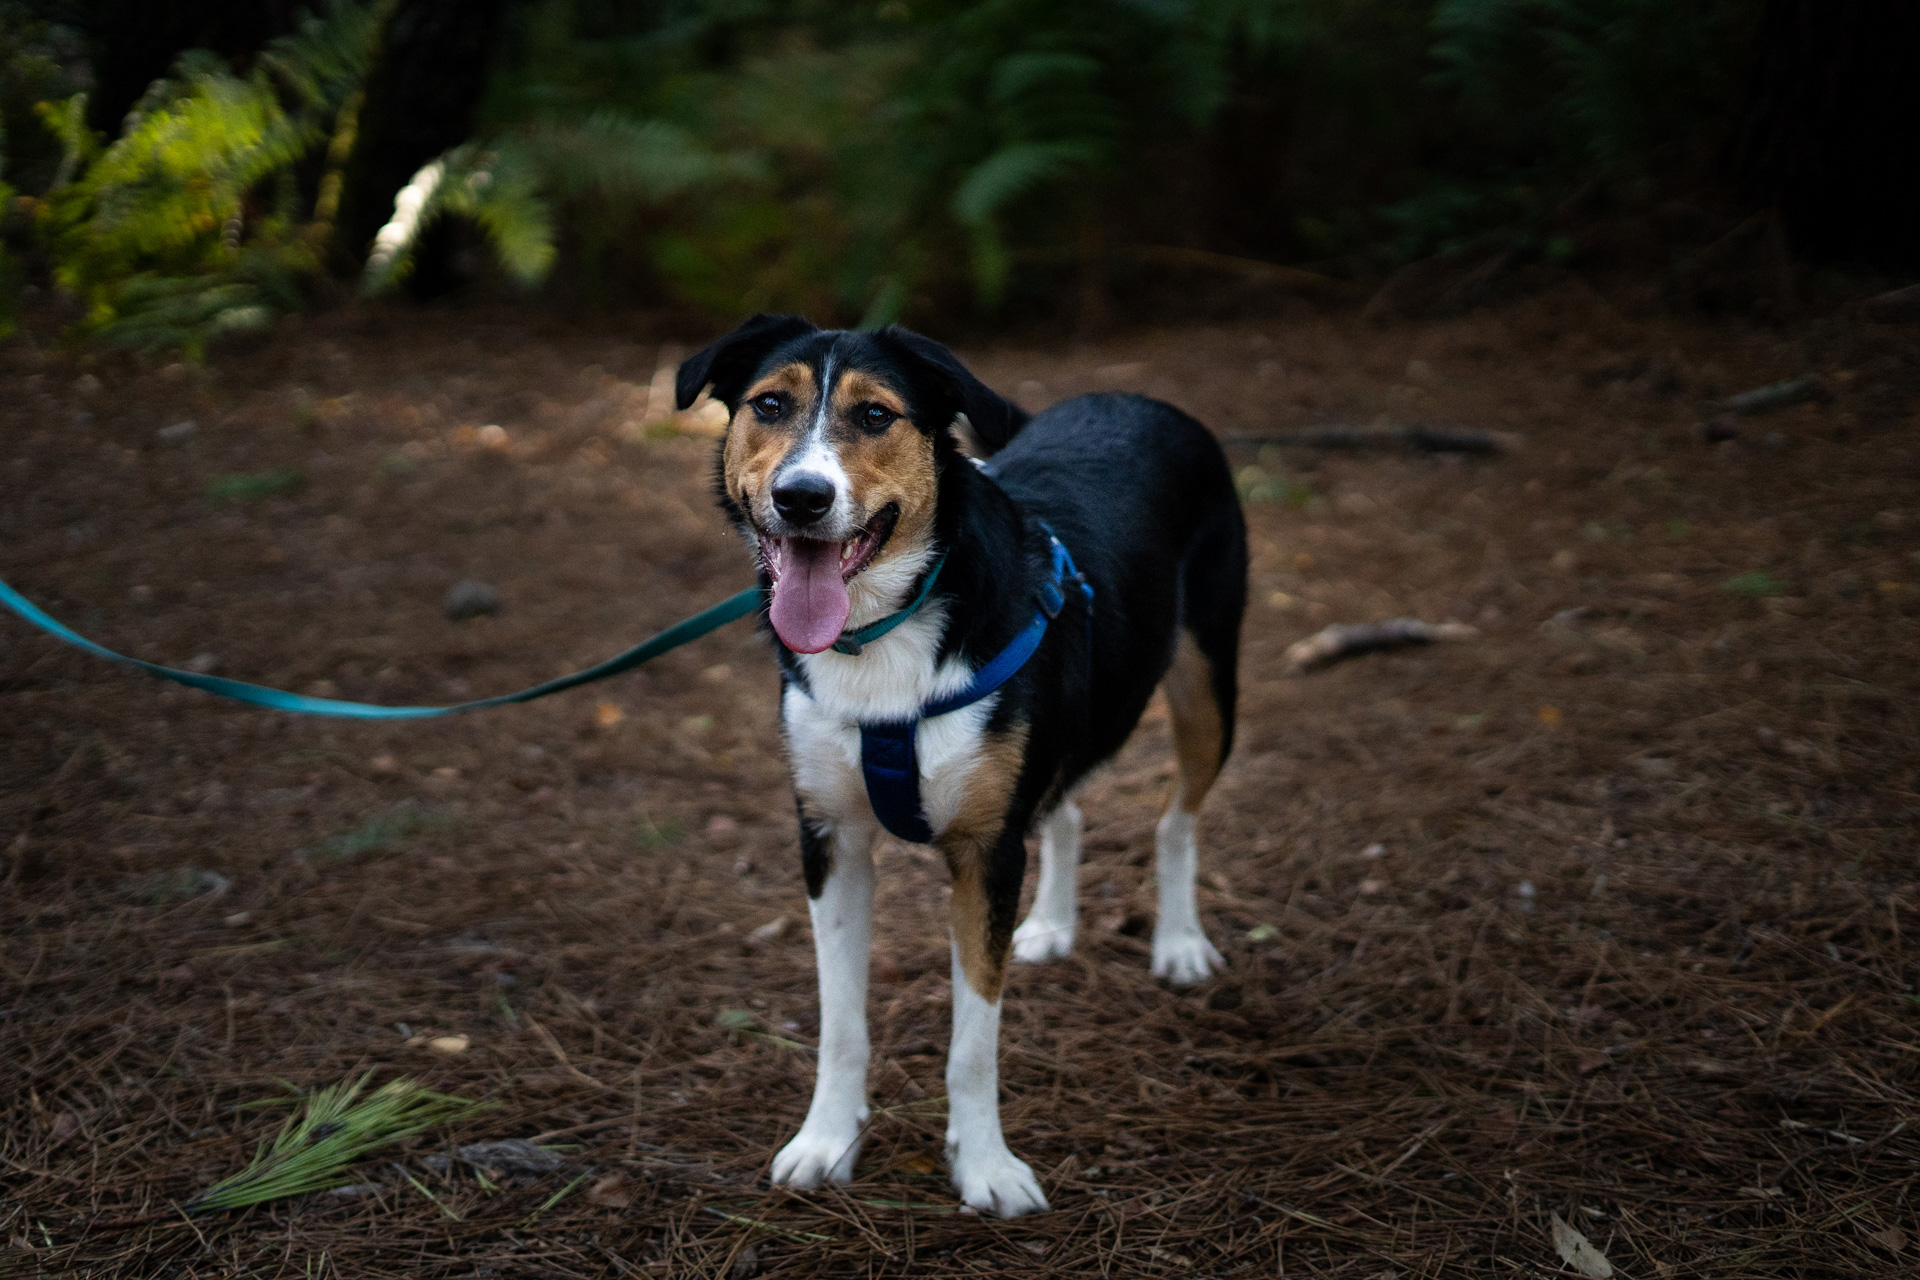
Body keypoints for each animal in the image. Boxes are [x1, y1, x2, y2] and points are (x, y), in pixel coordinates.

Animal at [683, 314, 1251, 1220]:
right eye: (769, 404)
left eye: (876, 415)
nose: (802, 497)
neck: (882, 634)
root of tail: (1136, 395)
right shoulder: (830, 840)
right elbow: (840, 1021)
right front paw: (826, 1140)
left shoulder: (988, 855)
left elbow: (973, 1042)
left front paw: (986, 1166)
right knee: (1067, 806)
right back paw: (1052, 924)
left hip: (1205, 686)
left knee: (1177, 818)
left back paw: (1180, 941)